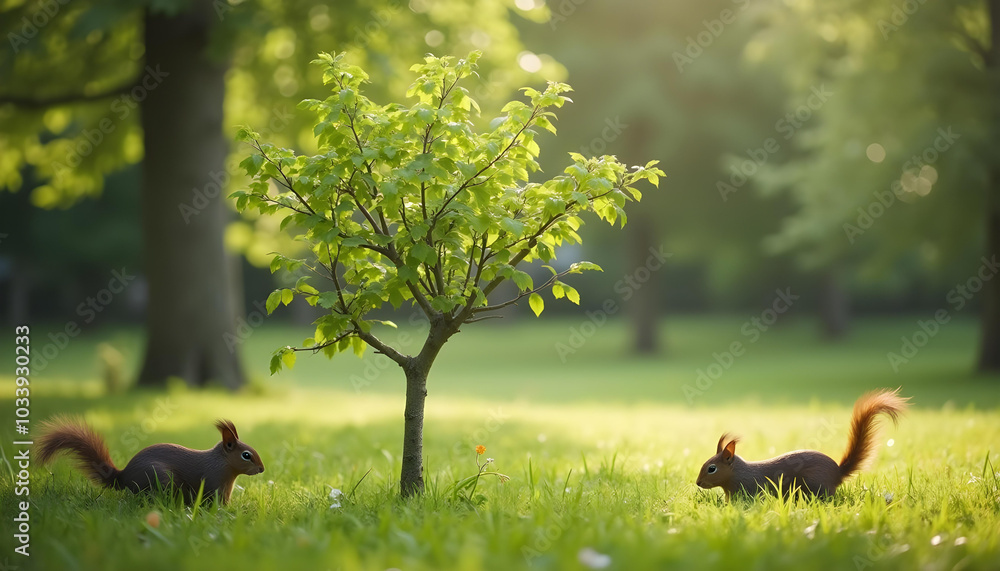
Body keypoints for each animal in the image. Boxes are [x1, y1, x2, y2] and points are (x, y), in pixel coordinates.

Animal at [37, 416, 264, 505]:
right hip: (159, 480)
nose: (262, 469)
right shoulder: (213, 481)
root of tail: (123, 476)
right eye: (246, 455)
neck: (221, 464)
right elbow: (214, 500)